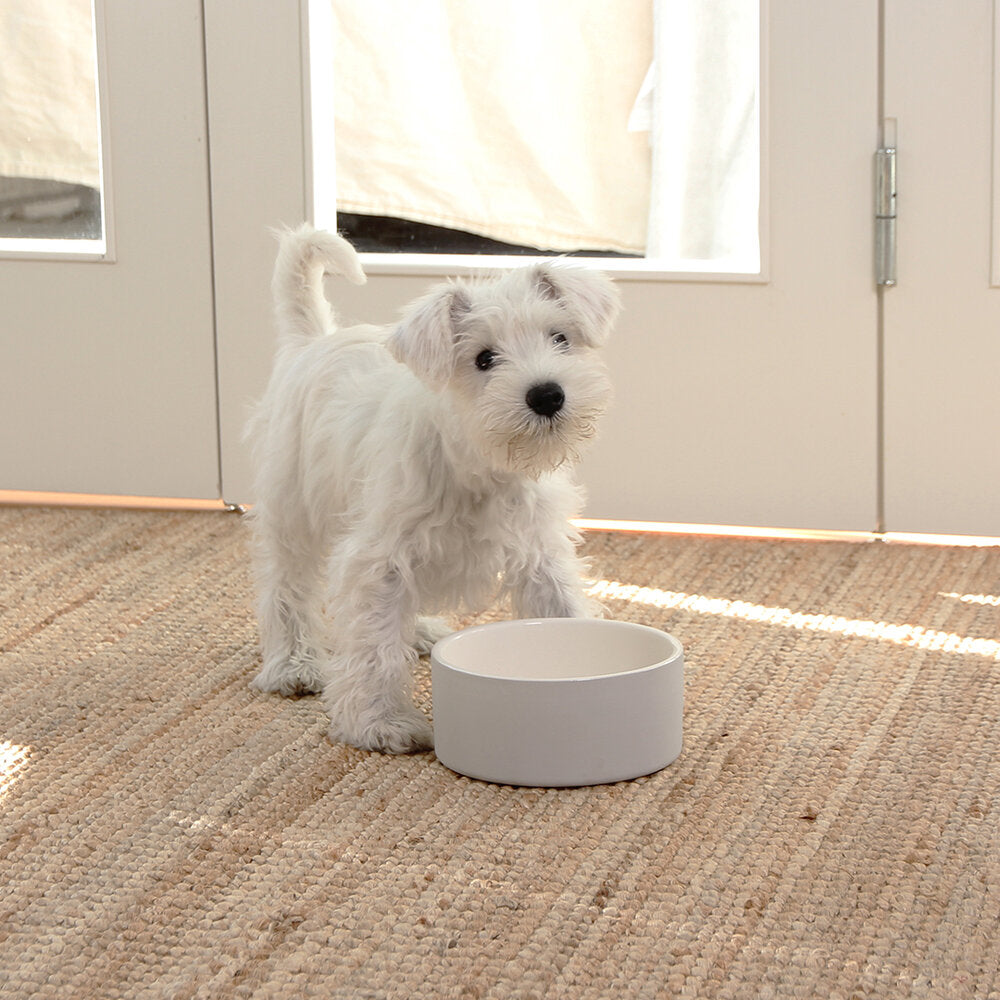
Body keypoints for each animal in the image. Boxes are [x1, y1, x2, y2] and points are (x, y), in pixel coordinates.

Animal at [247, 225, 620, 752]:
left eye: (560, 338)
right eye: (484, 358)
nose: (547, 395)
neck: (479, 465)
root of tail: (312, 341)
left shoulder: (540, 552)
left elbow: (562, 605)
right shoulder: (377, 560)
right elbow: (374, 648)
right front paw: (382, 724)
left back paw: (418, 631)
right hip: (292, 510)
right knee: (287, 588)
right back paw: (294, 665)